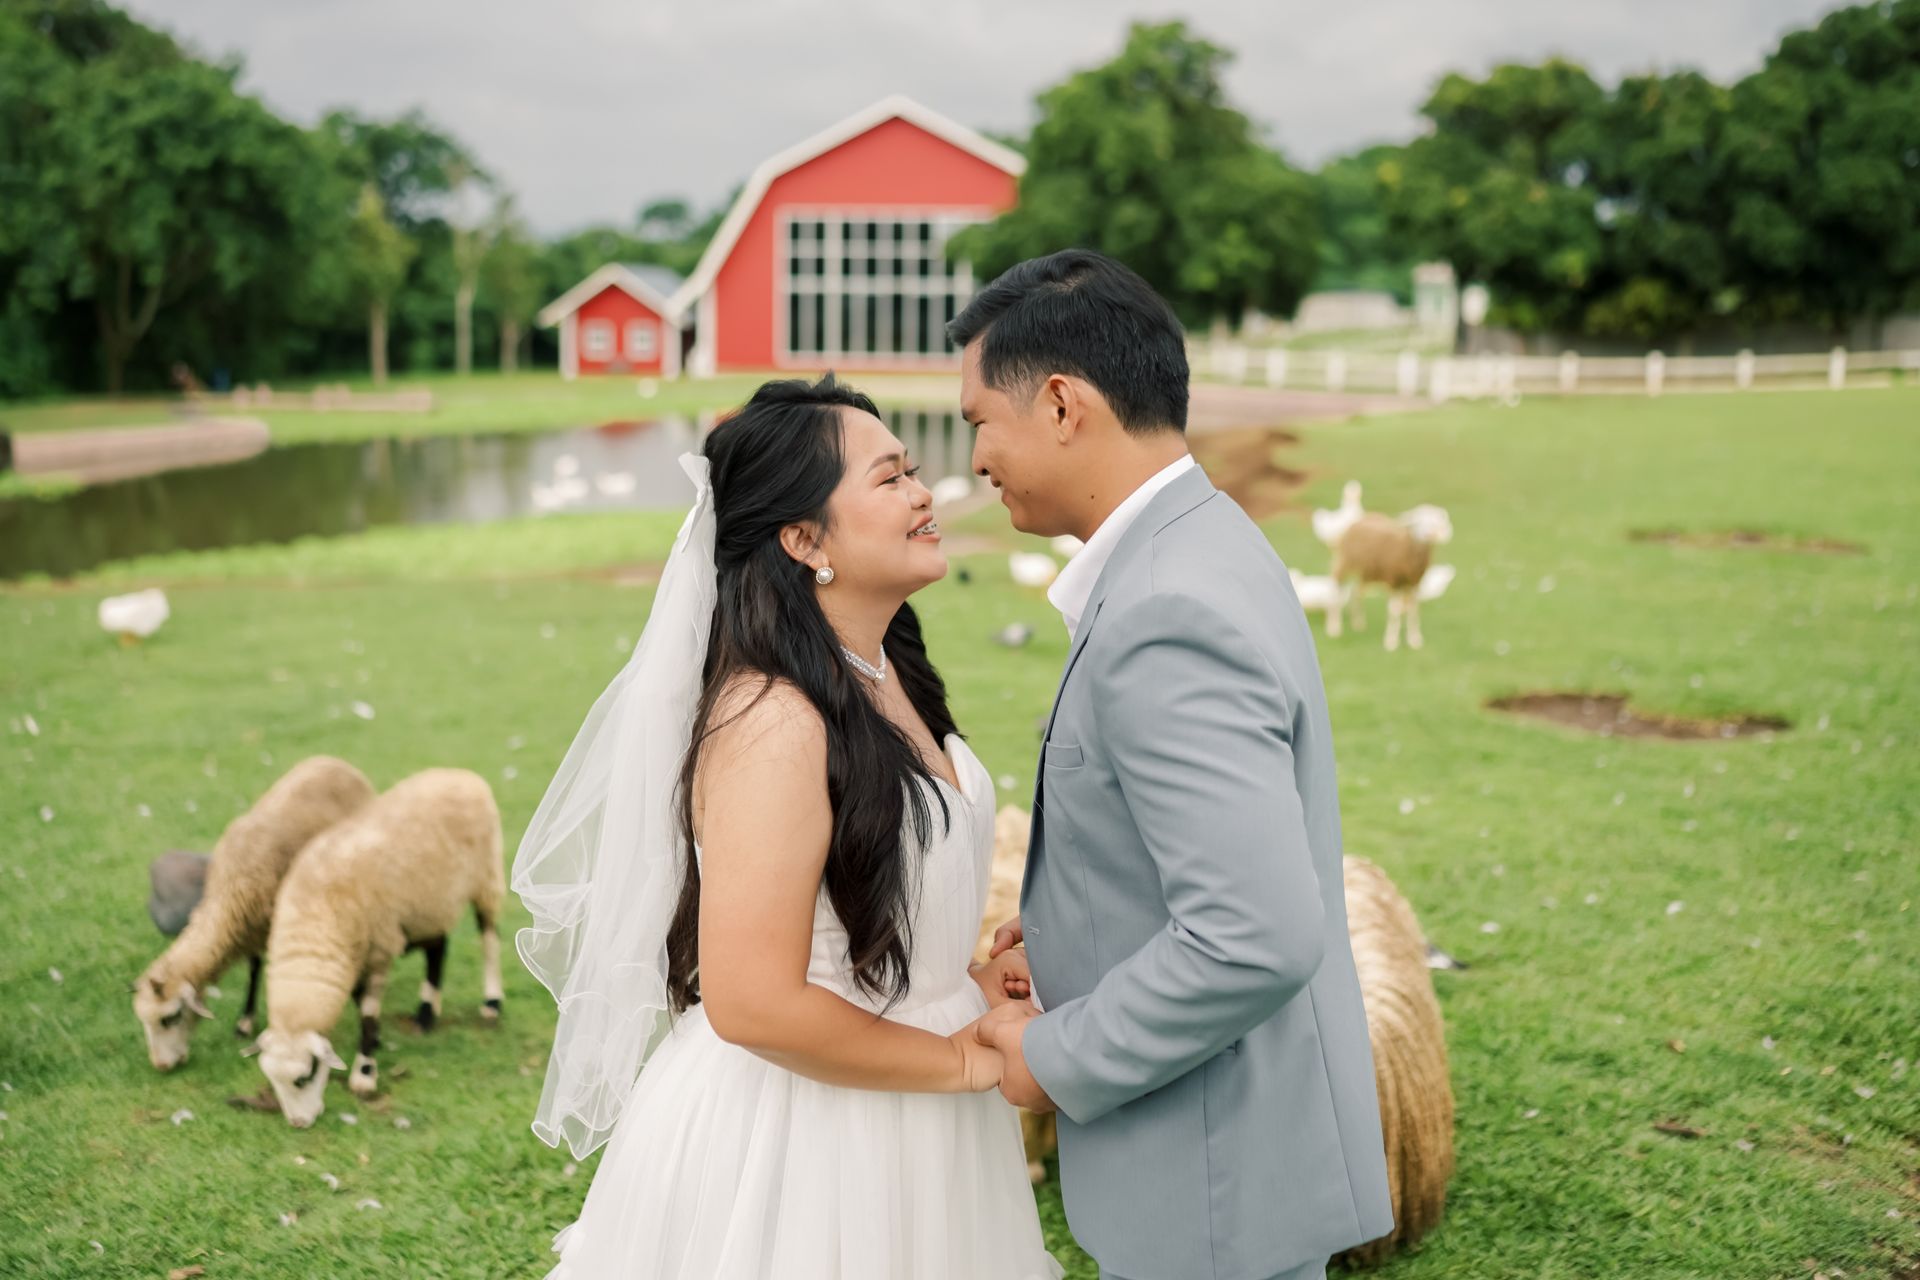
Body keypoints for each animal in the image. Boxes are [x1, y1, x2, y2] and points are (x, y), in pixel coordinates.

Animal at [132, 756, 376, 1071]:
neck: (229, 893)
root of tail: (336, 761)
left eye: (170, 1017)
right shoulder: (251, 927)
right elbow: (255, 966)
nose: (161, 1067)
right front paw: (246, 1021)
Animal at [253, 767, 505, 1128]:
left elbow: (368, 1015)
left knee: (490, 940)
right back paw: (426, 1014)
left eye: (306, 1075)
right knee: (438, 949)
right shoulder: (357, 955)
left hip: (487, 877)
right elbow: (361, 1005)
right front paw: (377, 1042)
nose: (299, 1124)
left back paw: (492, 1003)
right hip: (428, 903)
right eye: (272, 1080)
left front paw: (365, 1074)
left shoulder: (379, 951)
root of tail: (461, 774)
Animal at [1327, 504, 1455, 650]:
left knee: (1355, 592)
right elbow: (1394, 611)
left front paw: (1415, 640)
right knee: (1335, 588)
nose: (1429, 535)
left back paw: (1358, 624)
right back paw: (1333, 628)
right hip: (1344, 560)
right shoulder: (1394, 581)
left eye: (1436, 521)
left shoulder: (1414, 583)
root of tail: (1361, 519)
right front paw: (1391, 642)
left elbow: (1413, 610)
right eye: (1418, 521)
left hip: (1367, 572)